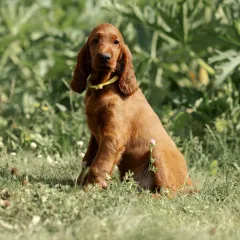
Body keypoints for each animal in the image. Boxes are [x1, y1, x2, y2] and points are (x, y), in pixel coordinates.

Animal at [70, 22, 194, 196]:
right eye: (95, 40)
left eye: (116, 42)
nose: (105, 57)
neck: (102, 87)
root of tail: (191, 183)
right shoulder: (95, 137)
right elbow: (86, 162)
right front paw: (79, 184)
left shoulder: (112, 137)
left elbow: (98, 165)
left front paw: (90, 189)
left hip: (157, 151)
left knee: (169, 192)